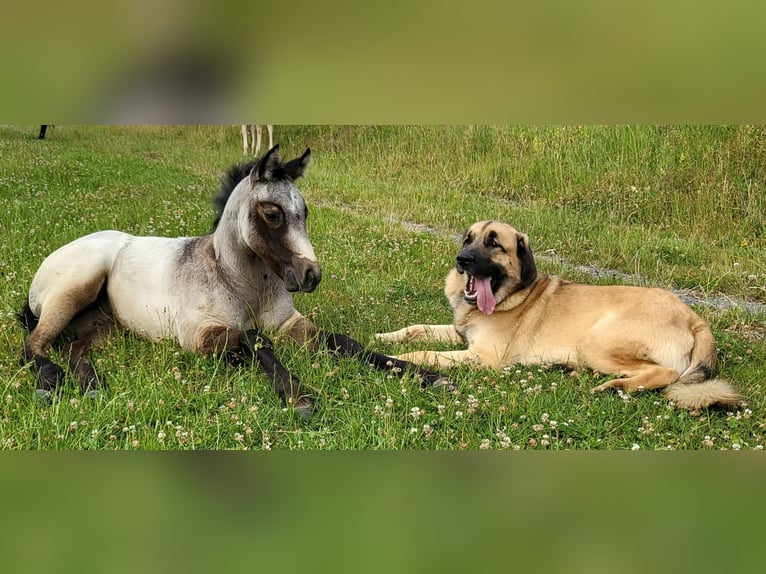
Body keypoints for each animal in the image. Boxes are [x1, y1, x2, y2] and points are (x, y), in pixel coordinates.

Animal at [378, 218, 744, 412]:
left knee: (665, 373)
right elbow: (416, 329)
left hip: (596, 341)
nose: (462, 259)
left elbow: (426, 353)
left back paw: (613, 387)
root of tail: (694, 318)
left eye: (494, 244)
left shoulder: (483, 356)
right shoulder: (459, 334)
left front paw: (399, 358)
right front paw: (385, 336)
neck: (511, 295)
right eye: (469, 239)